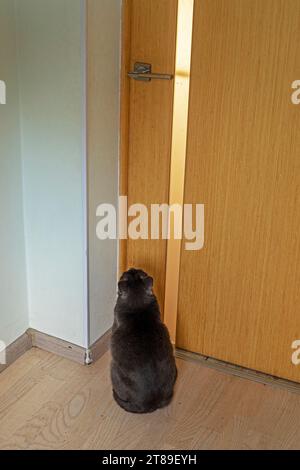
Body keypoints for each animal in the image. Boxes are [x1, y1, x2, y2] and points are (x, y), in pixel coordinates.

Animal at [110, 270, 177, 414]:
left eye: (124, 275)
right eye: (142, 272)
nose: (131, 268)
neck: (138, 306)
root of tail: (150, 403)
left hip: (113, 368)